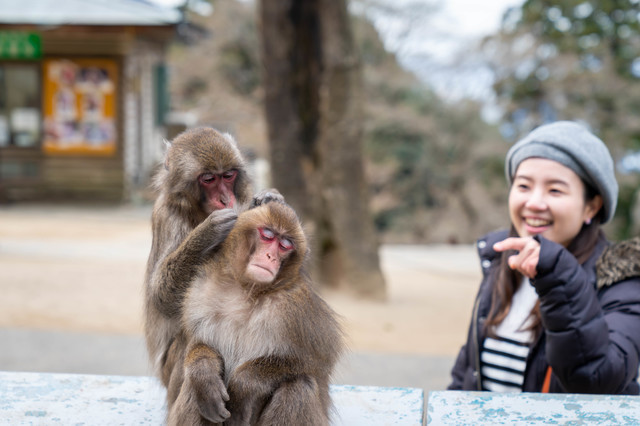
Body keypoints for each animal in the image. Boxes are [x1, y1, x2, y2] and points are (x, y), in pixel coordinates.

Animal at [147, 127, 282, 392]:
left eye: (228, 176)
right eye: (209, 179)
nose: (224, 198)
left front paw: (271, 197)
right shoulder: (167, 215)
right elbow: (160, 296)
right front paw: (208, 232)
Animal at [166, 201, 344, 424]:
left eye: (285, 244)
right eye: (267, 235)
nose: (271, 257)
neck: (245, 291)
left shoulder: (298, 308)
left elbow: (319, 361)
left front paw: (245, 384)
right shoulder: (199, 292)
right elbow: (195, 343)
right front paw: (203, 371)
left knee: (299, 386)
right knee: (193, 387)